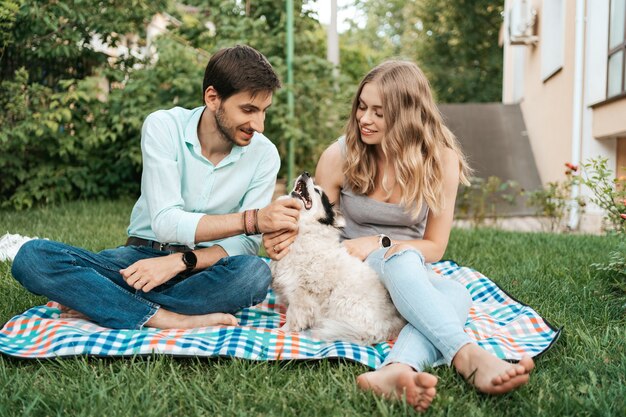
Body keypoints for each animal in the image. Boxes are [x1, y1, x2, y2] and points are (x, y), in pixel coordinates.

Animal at [268, 171, 404, 342]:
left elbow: (293, 317)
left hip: (340, 299)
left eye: (318, 192)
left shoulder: (299, 293)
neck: (304, 231)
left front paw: (281, 331)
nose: (306, 173)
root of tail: (385, 328)